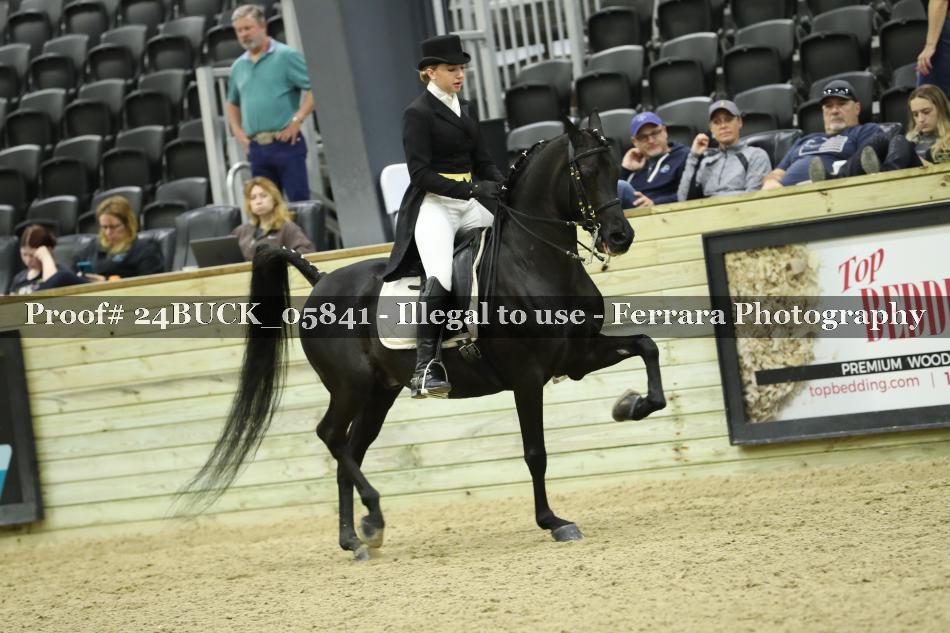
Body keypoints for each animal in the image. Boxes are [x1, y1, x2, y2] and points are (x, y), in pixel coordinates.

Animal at [180, 113, 667, 560]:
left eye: (615, 166)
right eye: (584, 172)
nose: (620, 236)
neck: (535, 260)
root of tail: (321, 280)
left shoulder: (577, 357)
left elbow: (647, 346)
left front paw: (631, 406)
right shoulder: (528, 378)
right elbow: (536, 452)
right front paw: (554, 521)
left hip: (380, 392)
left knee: (350, 450)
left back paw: (356, 538)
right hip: (351, 386)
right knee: (332, 437)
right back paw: (372, 518)